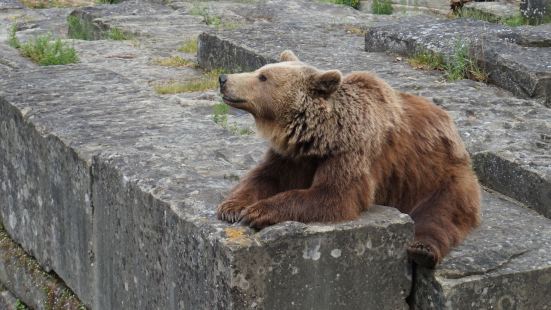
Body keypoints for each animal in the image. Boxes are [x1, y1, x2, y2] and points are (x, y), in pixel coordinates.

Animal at [218, 49, 480, 268]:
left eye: (263, 77)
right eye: (260, 70)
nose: (223, 78)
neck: (320, 136)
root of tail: (453, 128)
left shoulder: (352, 151)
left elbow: (334, 194)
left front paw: (258, 211)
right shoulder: (291, 155)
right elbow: (263, 176)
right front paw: (231, 207)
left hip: (438, 174)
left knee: (440, 213)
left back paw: (422, 249)